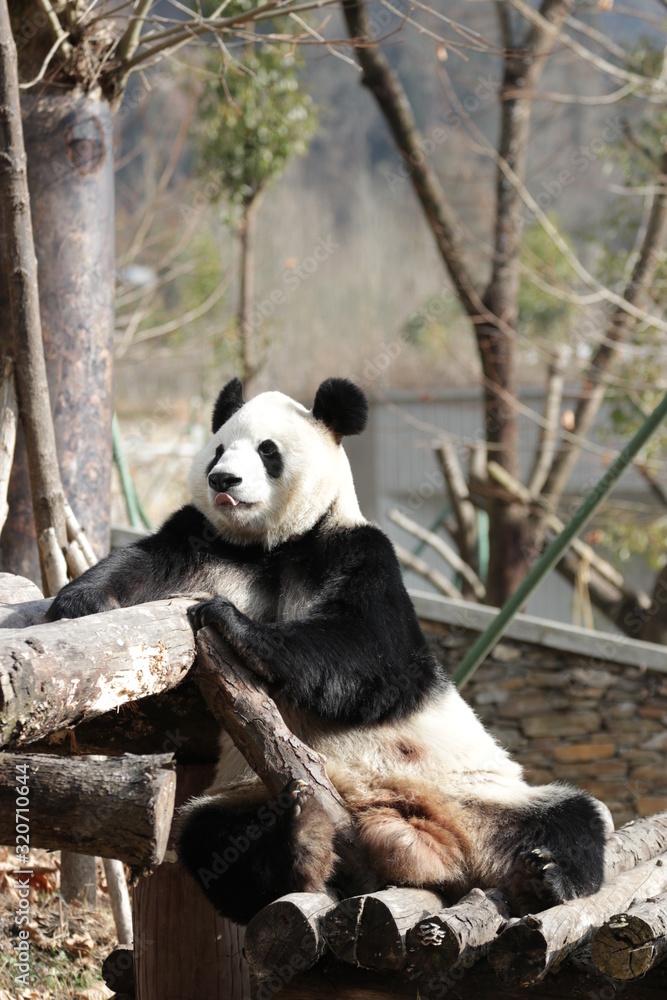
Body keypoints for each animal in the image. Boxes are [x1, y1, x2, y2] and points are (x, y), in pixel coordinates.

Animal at [48, 376, 612, 924]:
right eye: (218, 450)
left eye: (268, 451)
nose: (223, 481)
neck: (275, 545)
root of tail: (416, 832)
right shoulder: (210, 546)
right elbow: (146, 564)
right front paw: (80, 599)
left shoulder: (358, 552)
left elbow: (377, 654)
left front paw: (235, 625)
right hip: (250, 790)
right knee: (215, 841)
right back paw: (301, 842)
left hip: (479, 794)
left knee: (573, 816)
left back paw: (547, 879)